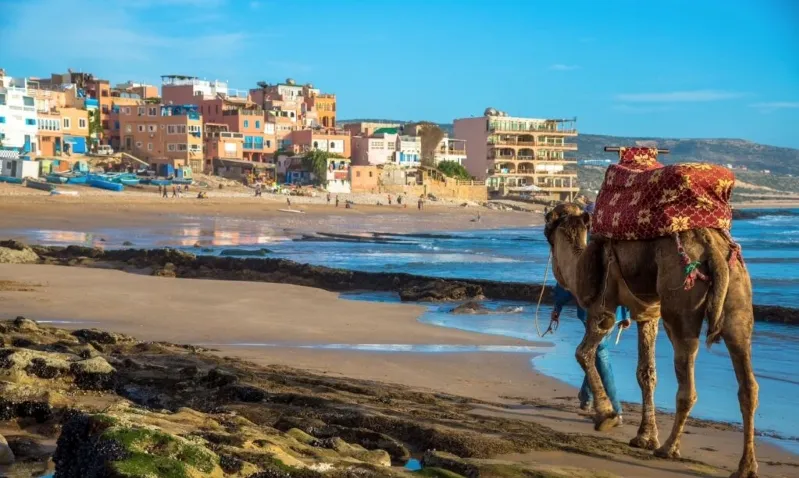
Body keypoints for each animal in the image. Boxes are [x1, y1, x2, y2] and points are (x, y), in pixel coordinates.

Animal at [544, 203, 759, 478]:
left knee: (687, 376)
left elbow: (583, 352)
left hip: (682, 299)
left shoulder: (602, 305)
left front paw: (606, 416)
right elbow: (646, 372)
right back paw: (746, 467)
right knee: (747, 380)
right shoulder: (648, 313)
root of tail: (712, 248)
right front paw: (645, 437)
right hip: (738, 292)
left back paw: (669, 448)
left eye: (549, 222)